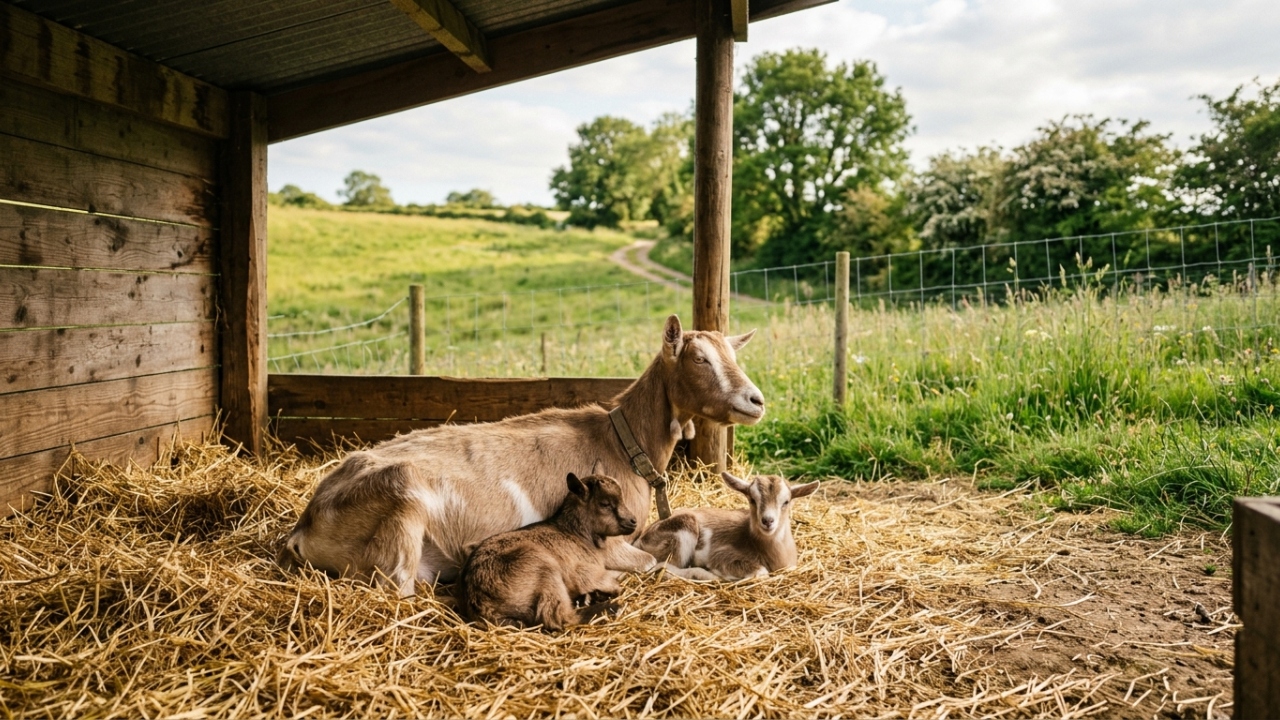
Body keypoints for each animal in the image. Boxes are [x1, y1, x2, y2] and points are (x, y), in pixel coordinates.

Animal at [278, 315, 765, 596]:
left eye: (731, 353)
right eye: (699, 358)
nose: (756, 400)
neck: (622, 441)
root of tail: (304, 526)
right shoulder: (609, 539)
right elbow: (652, 565)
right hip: (401, 503)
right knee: (397, 586)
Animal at [458, 472, 633, 631]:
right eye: (605, 504)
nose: (633, 521)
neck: (574, 532)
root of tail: (480, 602)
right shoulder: (581, 570)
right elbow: (614, 585)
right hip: (542, 567)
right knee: (557, 616)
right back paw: (609, 607)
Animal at [633, 472, 819, 581]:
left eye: (786, 502)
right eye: (752, 499)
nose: (767, 521)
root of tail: (641, 539)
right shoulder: (721, 554)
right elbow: (761, 572)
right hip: (683, 530)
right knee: (661, 567)